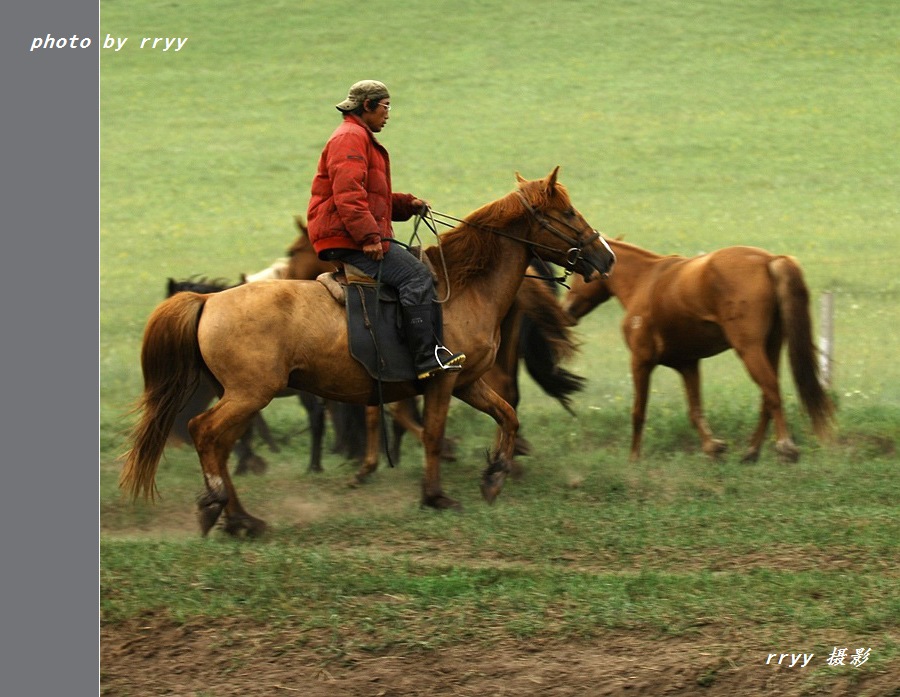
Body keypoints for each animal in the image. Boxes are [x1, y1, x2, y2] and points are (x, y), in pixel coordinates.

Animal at [121, 170, 620, 540]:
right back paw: (220, 508)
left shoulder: (467, 381)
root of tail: (208, 301)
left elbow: (507, 415)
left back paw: (242, 519)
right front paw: (435, 495)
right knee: (204, 434)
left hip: (243, 397)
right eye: (568, 212)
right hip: (248, 395)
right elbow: (433, 434)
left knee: (219, 446)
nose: (606, 256)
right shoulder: (441, 380)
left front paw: (494, 473)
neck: (464, 286)